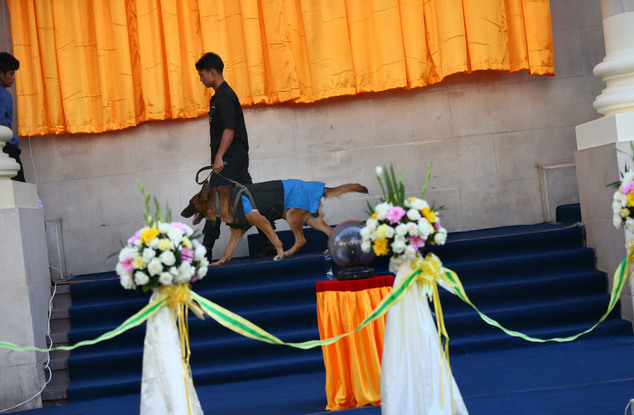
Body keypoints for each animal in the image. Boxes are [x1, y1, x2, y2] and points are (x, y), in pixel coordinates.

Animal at [179, 181, 366, 266]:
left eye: (190, 203)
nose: (181, 213)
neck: (218, 201)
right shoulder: (237, 232)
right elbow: (227, 250)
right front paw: (219, 263)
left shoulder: (262, 221)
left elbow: (275, 240)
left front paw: (280, 254)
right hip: (311, 220)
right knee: (329, 231)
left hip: (292, 217)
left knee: (301, 240)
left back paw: (288, 253)